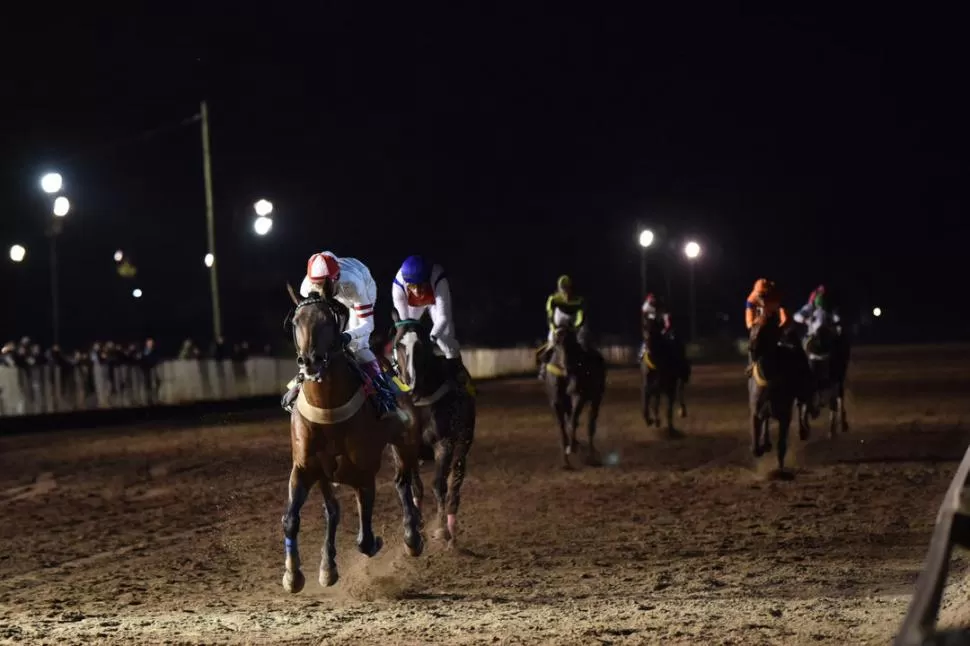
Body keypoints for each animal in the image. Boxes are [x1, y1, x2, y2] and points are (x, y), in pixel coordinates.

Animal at [276, 286, 420, 596]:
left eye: (328, 321)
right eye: (296, 323)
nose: (310, 361)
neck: (329, 411)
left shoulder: (364, 474)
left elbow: (364, 539)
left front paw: (378, 541)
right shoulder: (305, 468)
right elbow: (292, 520)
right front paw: (293, 576)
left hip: (405, 442)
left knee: (403, 482)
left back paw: (413, 537)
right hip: (325, 473)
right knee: (333, 511)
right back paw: (328, 567)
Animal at [388, 316, 474, 548]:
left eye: (422, 345)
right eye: (398, 344)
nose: (411, 385)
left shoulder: (444, 444)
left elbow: (438, 485)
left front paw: (441, 529)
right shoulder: (401, 449)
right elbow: (410, 486)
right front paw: (414, 531)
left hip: (463, 444)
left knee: (455, 480)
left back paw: (451, 529)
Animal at [536, 326, 604, 468]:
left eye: (572, 342)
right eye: (557, 343)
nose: (567, 369)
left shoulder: (578, 397)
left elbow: (572, 422)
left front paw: (572, 447)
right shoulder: (556, 402)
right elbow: (562, 427)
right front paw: (566, 460)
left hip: (596, 398)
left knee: (590, 425)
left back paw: (591, 456)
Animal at [748, 320, 808, 476]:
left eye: (766, 330)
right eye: (753, 329)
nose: (752, 348)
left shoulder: (785, 415)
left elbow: (781, 444)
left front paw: (780, 469)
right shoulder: (756, 409)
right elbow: (755, 442)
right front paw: (761, 446)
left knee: (801, 405)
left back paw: (802, 431)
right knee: (766, 418)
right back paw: (766, 442)